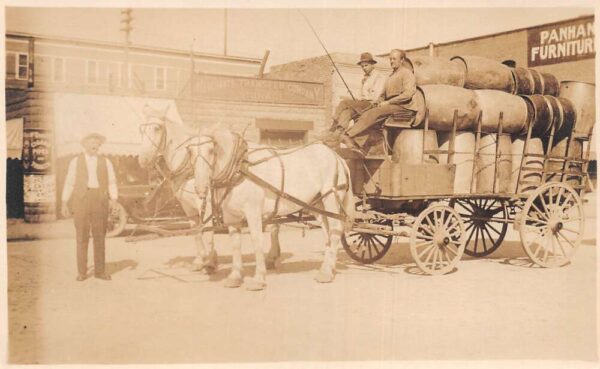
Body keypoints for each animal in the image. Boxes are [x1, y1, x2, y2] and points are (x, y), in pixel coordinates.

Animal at [137, 106, 282, 274]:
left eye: (157, 128)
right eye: (141, 130)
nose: (143, 159)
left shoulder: (203, 202)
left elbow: (207, 230)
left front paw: (211, 261)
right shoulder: (187, 207)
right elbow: (195, 231)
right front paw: (199, 260)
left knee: (274, 227)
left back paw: (271, 257)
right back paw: (273, 256)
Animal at [190, 126, 354, 290]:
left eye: (211, 150)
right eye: (189, 151)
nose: (199, 188)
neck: (240, 168)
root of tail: (337, 157)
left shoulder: (253, 212)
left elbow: (257, 242)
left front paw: (258, 279)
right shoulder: (232, 217)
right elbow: (236, 245)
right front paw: (235, 277)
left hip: (331, 199)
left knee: (335, 230)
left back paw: (326, 273)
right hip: (317, 205)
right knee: (328, 233)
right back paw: (328, 268)